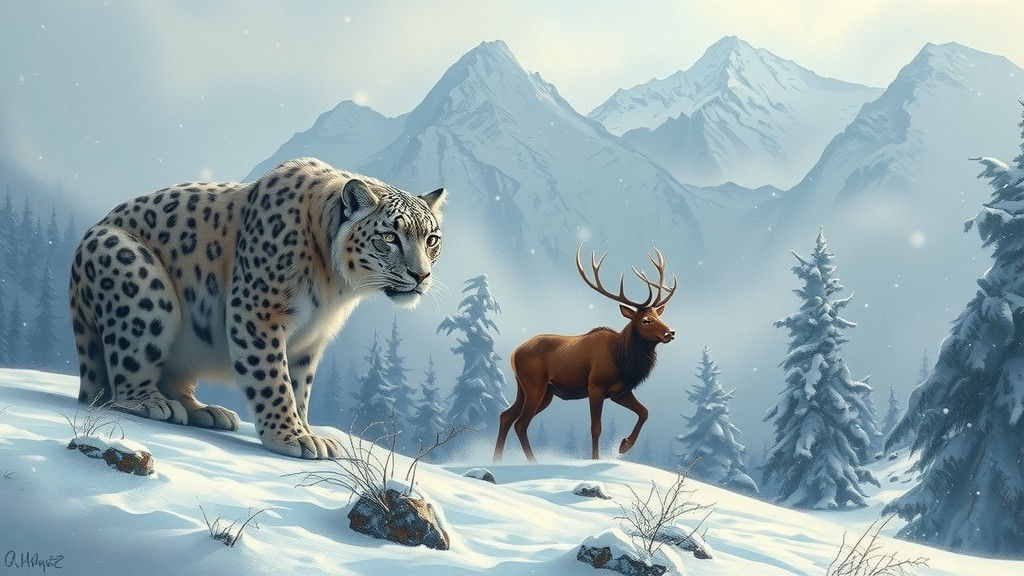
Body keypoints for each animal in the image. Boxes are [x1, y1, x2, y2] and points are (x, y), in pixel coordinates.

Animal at [68, 157, 446, 459]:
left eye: (431, 239)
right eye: (390, 237)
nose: (421, 274)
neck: (335, 289)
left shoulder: (309, 340)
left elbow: (299, 385)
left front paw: (307, 431)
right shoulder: (259, 311)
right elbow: (271, 378)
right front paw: (291, 437)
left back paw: (207, 411)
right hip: (143, 288)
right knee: (123, 375)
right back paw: (149, 402)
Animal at [494, 245, 677, 462]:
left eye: (658, 315)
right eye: (646, 320)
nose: (670, 332)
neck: (623, 360)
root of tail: (513, 353)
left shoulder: (621, 391)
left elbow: (645, 412)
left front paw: (623, 445)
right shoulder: (595, 386)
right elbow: (596, 427)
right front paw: (596, 459)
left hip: (535, 390)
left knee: (505, 415)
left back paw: (497, 459)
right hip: (534, 385)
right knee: (520, 423)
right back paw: (533, 461)